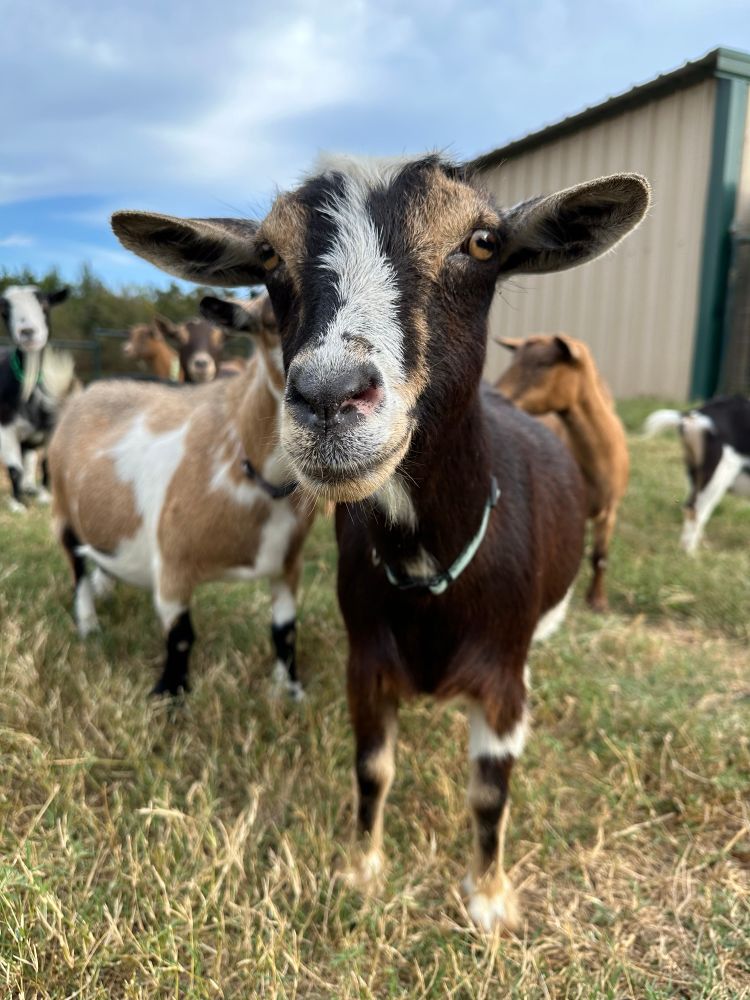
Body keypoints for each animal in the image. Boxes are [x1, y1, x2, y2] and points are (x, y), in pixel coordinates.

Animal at [0, 285, 77, 511]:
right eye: (5, 312)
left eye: (45, 304)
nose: (27, 332)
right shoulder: (5, 427)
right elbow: (14, 469)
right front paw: (17, 505)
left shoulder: (55, 427)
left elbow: (46, 463)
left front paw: (44, 497)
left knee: (29, 456)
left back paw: (30, 487)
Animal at [49, 293, 314, 699]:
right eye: (273, 319)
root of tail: (81, 395)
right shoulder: (173, 562)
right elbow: (182, 636)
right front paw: (169, 698)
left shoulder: (289, 564)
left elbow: (285, 631)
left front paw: (290, 693)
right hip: (63, 509)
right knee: (76, 566)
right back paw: (89, 624)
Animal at [644, 396, 750, 553]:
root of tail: (692, 416)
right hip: (718, 474)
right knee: (695, 510)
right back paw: (691, 554)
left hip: (695, 473)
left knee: (691, 507)